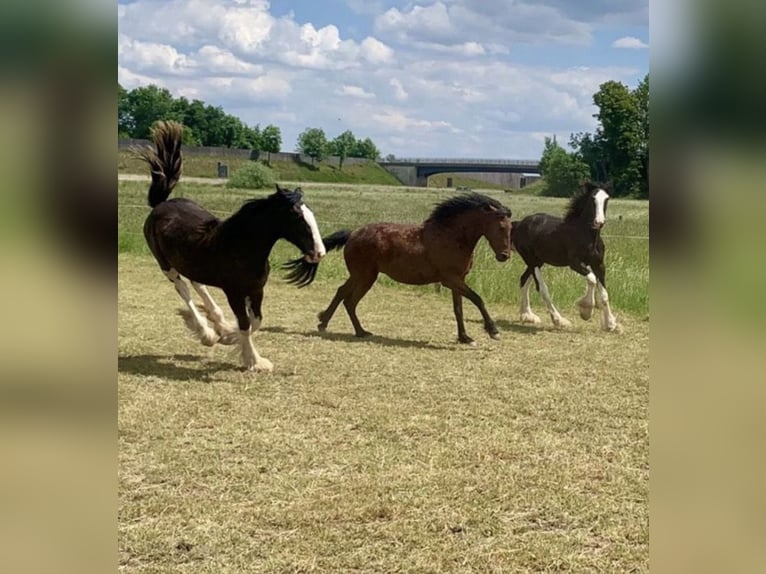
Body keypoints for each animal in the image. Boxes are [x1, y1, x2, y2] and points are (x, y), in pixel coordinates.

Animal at [138, 121, 326, 372]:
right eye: (297, 217)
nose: (319, 253)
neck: (241, 247)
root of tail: (160, 205)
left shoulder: (256, 290)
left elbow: (255, 322)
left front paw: (229, 336)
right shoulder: (234, 292)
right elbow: (246, 324)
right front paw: (252, 360)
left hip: (191, 263)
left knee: (197, 283)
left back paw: (218, 322)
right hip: (166, 265)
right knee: (183, 289)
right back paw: (207, 333)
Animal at [283, 192, 513, 344]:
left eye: (511, 227)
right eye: (501, 226)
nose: (504, 256)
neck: (451, 236)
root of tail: (353, 233)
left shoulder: (458, 280)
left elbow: (458, 309)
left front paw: (464, 337)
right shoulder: (451, 280)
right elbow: (477, 299)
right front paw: (493, 331)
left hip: (363, 275)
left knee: (344, 295)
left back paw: (340, 326)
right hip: (365, 275)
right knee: (349, 299)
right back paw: (345, 328)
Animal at [510, 181, 620, 332]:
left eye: (607, 199)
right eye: (592, 199)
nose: (599, 222)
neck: (587, 235)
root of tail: (519, 224)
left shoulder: (599, 264)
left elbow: (604, 294)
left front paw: (611, 324)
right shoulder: (575, 263)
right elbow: (592, 279)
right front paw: (586, 310)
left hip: (538, 261)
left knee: (524, 280)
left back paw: (527, 316)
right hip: (532, 262)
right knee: (542, 289)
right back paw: (559, 321)